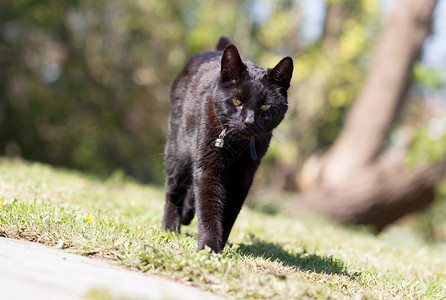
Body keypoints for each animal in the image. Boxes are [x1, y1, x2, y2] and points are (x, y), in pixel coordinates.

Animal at [160, 37, 292, 253]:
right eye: (237, 101)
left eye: (265, 106)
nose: (249, 121)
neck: (237, 146)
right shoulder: (209, 168)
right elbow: (209, 208)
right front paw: (209, 248)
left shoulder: (242, 178)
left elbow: (229, 213)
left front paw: (219, 245)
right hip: (178, 153)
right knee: (174, 191)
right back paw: (170, 228)